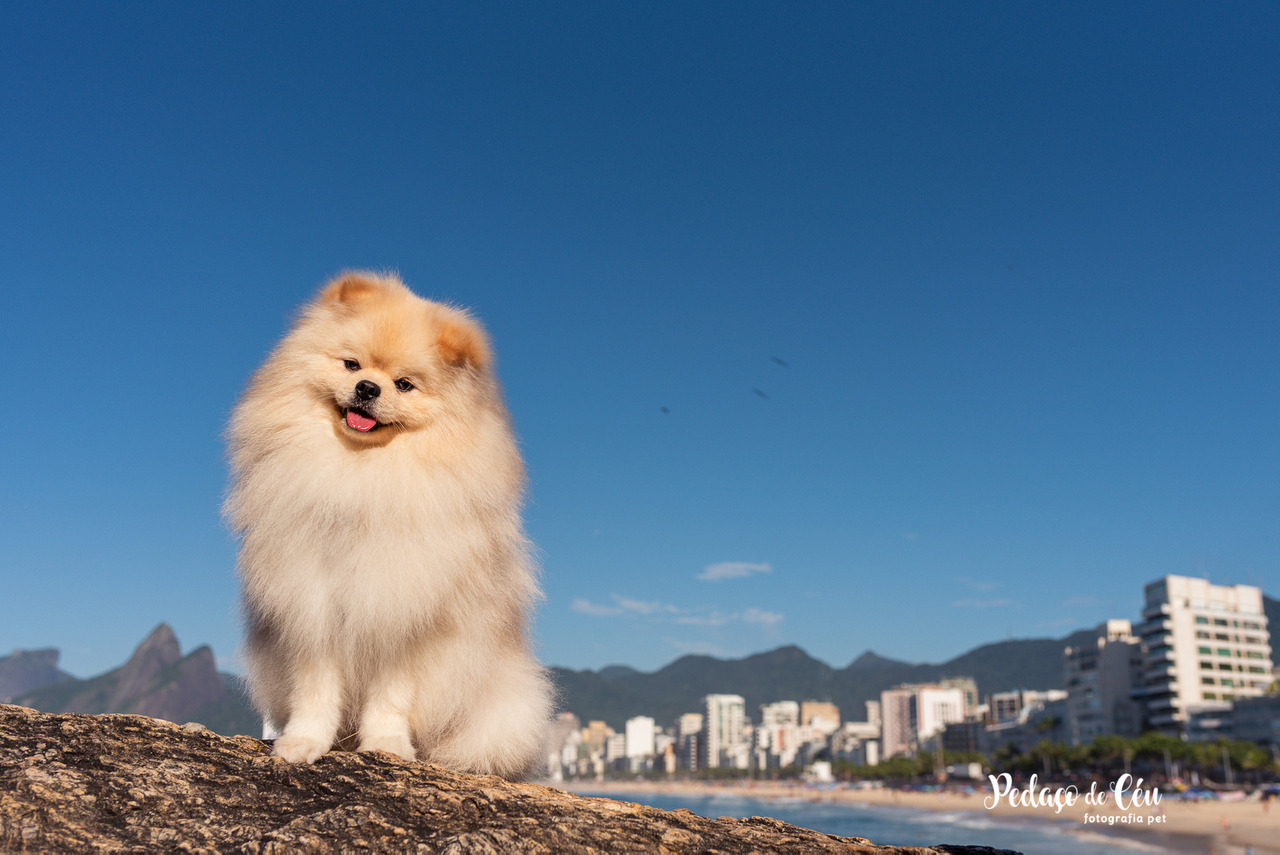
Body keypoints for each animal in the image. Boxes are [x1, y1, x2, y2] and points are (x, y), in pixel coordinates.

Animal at [224, 270, 550, 778]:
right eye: (351, 364)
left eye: (404, 385)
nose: (367, 389)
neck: (362, 477)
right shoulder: (311, 603)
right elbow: (315, 692)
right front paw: (303, 742)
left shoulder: (404, 612)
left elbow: (392, 696)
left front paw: (386, 746)